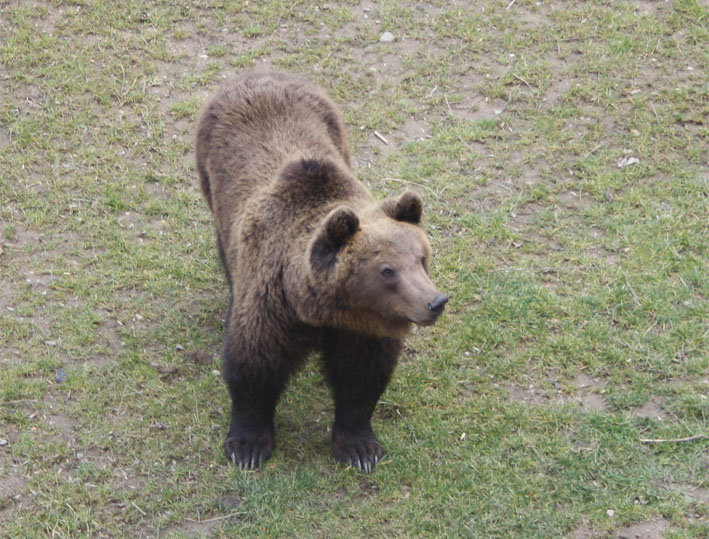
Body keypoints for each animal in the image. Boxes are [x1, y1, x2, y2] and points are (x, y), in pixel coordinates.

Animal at [195, 70, 447, 472]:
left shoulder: (362, 328)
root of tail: (257, 72)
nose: (435, 301)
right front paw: (247, 446)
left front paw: (359, 448)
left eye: (421, 258)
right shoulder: (272, 305)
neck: (321, 310)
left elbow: (361, 378)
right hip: (212, 180)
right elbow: (253, 366)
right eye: (387, 271)